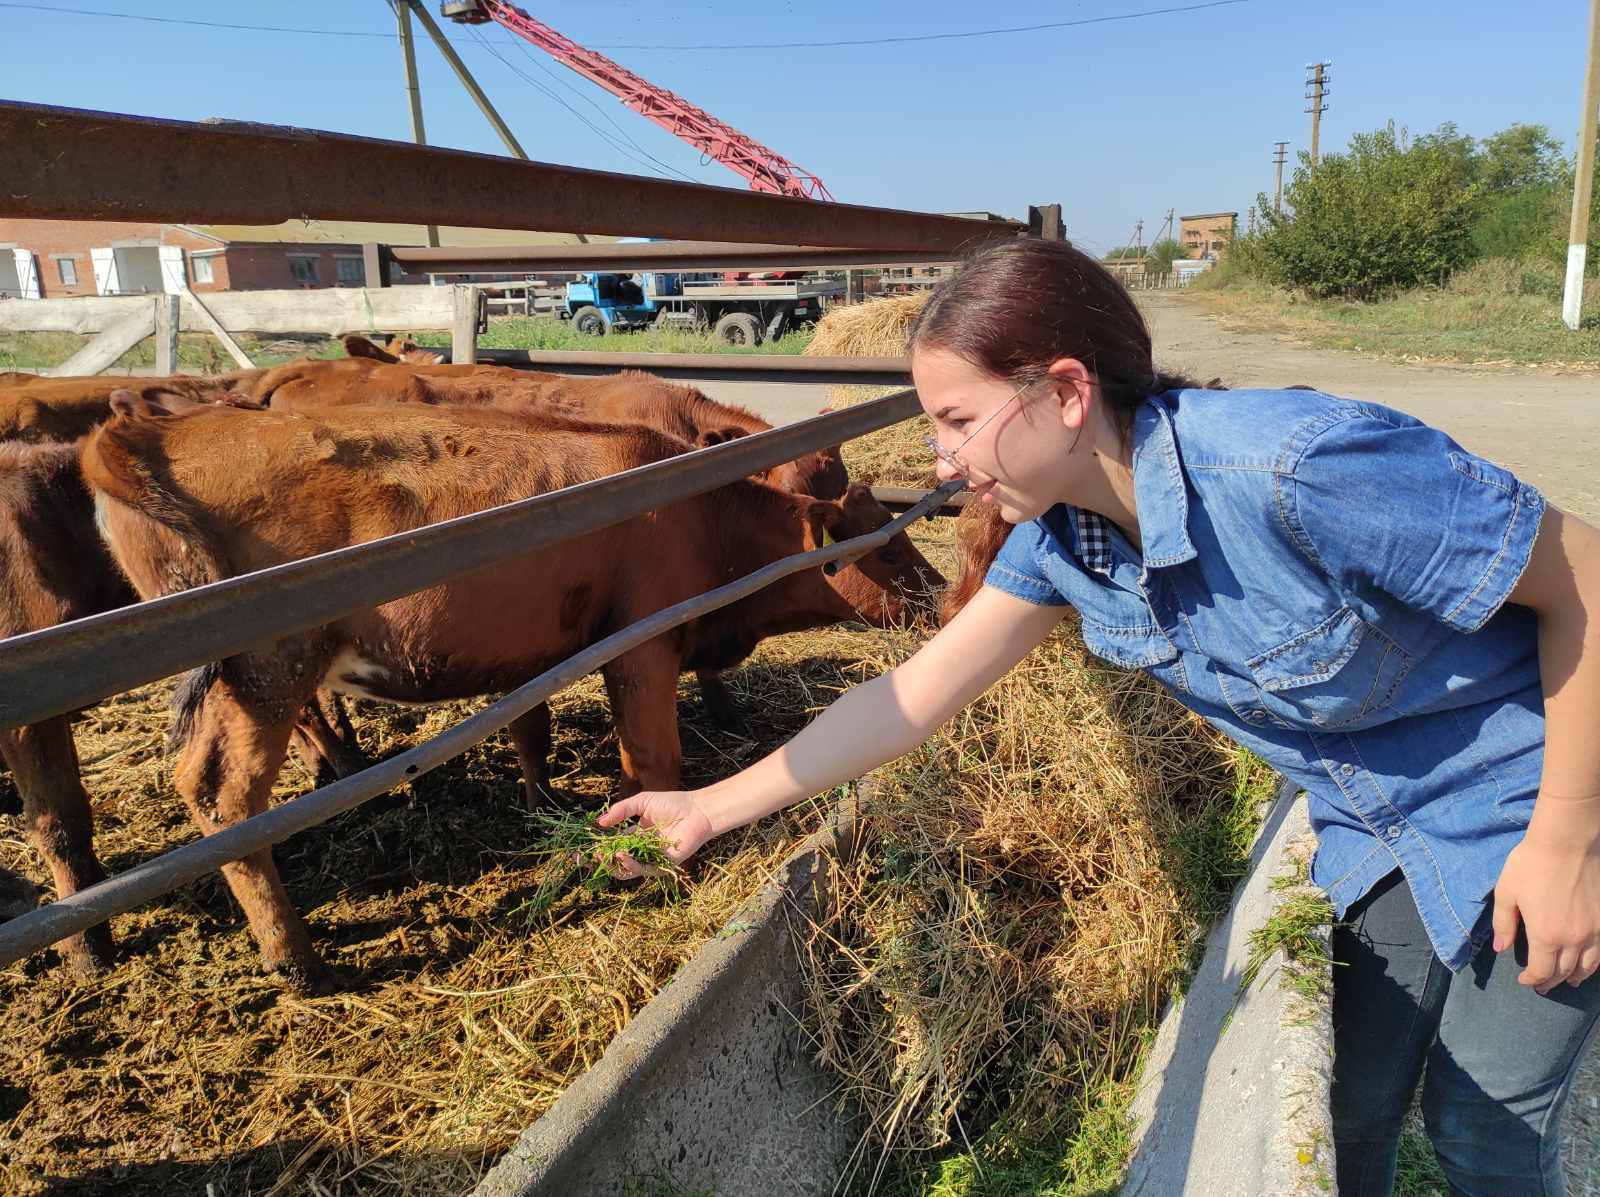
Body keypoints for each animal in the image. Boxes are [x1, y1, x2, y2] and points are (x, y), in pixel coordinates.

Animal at [82, 396, 940, 989]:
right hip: (265, 671)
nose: (944, 595)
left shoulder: (538, 652)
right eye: (888, 551)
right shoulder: (643, 649)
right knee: (223, 797)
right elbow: (654, 757)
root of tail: (141, 432)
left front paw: (547, 805)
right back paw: (297, 960)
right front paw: (666, 860)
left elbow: (537, 731)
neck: (695, 513)